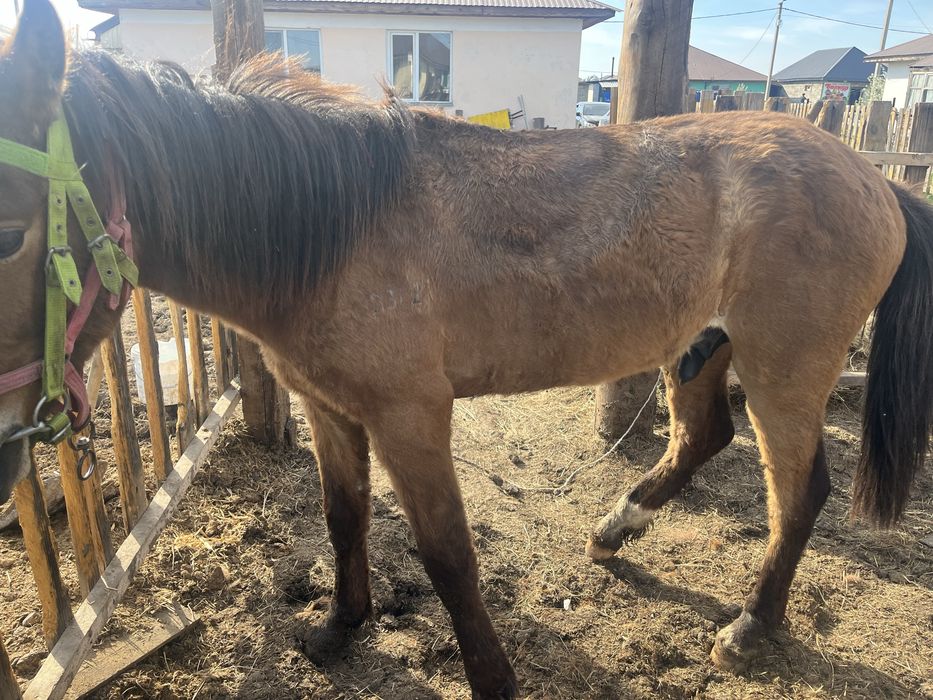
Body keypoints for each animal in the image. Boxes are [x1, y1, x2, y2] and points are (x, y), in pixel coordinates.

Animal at [1, 1, 930, 697]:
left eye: (11, 230)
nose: (9, 443)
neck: (330, 232)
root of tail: (873, 179)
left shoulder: (411, 416)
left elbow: (448, 556)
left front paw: (490, 678)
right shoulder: (329, 408)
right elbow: (343, 519)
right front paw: (339, 626)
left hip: (784, 370)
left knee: (798, 492)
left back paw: (749, 627)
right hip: (701, 348)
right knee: (705, 436)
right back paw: (616, 528)